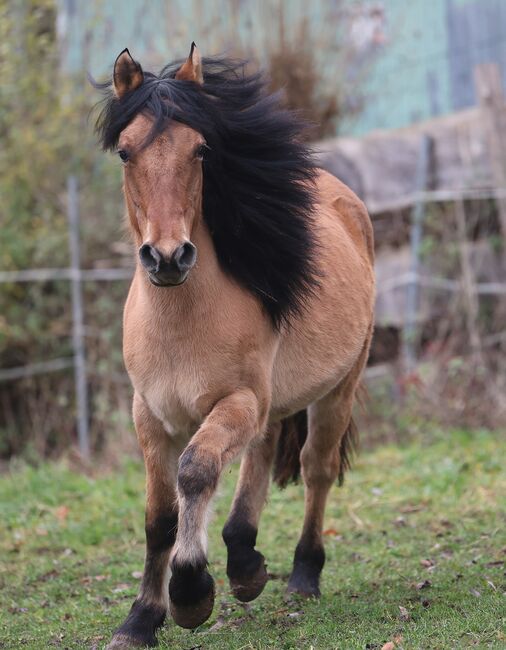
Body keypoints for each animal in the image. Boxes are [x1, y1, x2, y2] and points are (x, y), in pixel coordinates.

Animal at [95, 44, 375, 650]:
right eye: (125, 153)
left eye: (201, 149)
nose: (168, 257)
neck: (180, 322)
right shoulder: (150, 415)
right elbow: (158, 517)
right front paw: (140, 620)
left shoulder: (236, 401)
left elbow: (196, 471)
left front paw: (190, 593)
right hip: (269, 405)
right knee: (262, 456)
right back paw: (245, 561)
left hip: (338, 389)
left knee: (315, 469)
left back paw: (302, 575)